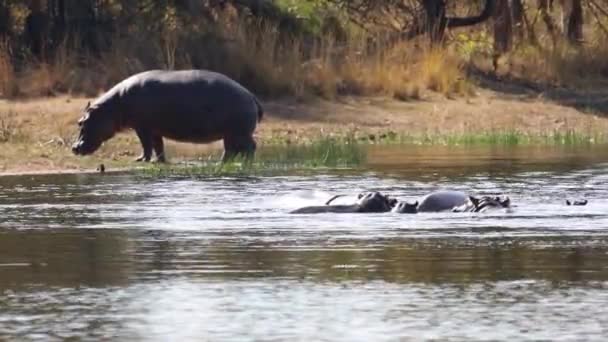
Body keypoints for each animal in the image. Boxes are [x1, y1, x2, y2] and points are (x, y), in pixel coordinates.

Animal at [72, 69, 264, 163]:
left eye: (83, 122)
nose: (74, 147)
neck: (112, 107)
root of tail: (250, 95)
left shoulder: (142, 128)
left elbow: (146, 145)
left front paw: (141, 160)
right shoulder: (154, 129)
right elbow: (158, 146)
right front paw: (158, 161)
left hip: (239, 132)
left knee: (250, 147)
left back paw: (246, 163)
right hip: (230, 133)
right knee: (230, 150)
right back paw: (221, 163)